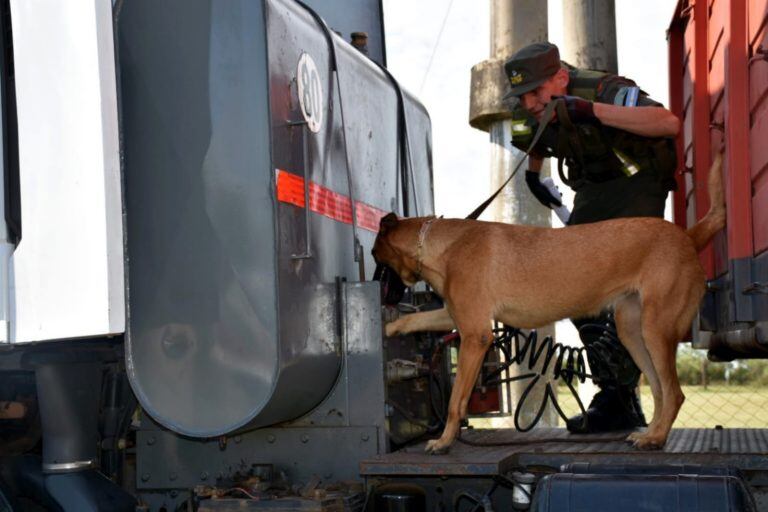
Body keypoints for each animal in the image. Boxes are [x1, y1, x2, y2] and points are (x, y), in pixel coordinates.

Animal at [376, 156, 724, 452]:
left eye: (376, 257)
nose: (380, 293)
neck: (443, 244)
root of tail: (688, 237)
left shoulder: (475, 335)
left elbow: (455, 401)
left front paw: (444, 441)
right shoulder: (456, 314)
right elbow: (414, 320)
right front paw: (388, 326)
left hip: (656, 329)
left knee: (674, 393)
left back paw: (656, 438)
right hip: (633, 331)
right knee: (660, 390)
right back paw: (651, 433)